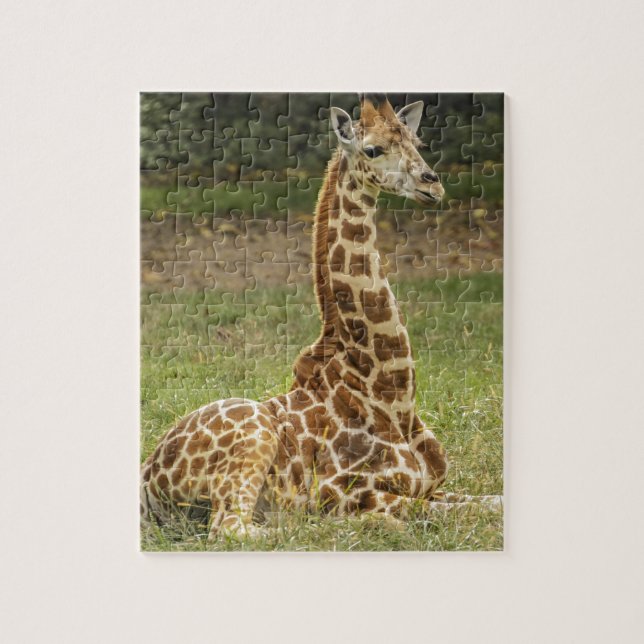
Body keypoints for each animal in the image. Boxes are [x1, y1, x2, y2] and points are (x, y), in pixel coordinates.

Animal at [140, 93, 502, 540]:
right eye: (373, 150)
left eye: (416, 141)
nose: (431, 184)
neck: (391, 394)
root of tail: (146, 484)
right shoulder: (348, 491)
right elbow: (439, 515)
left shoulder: (433, 486)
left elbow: (492, 503)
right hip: (253, 440)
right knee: (236, 528)